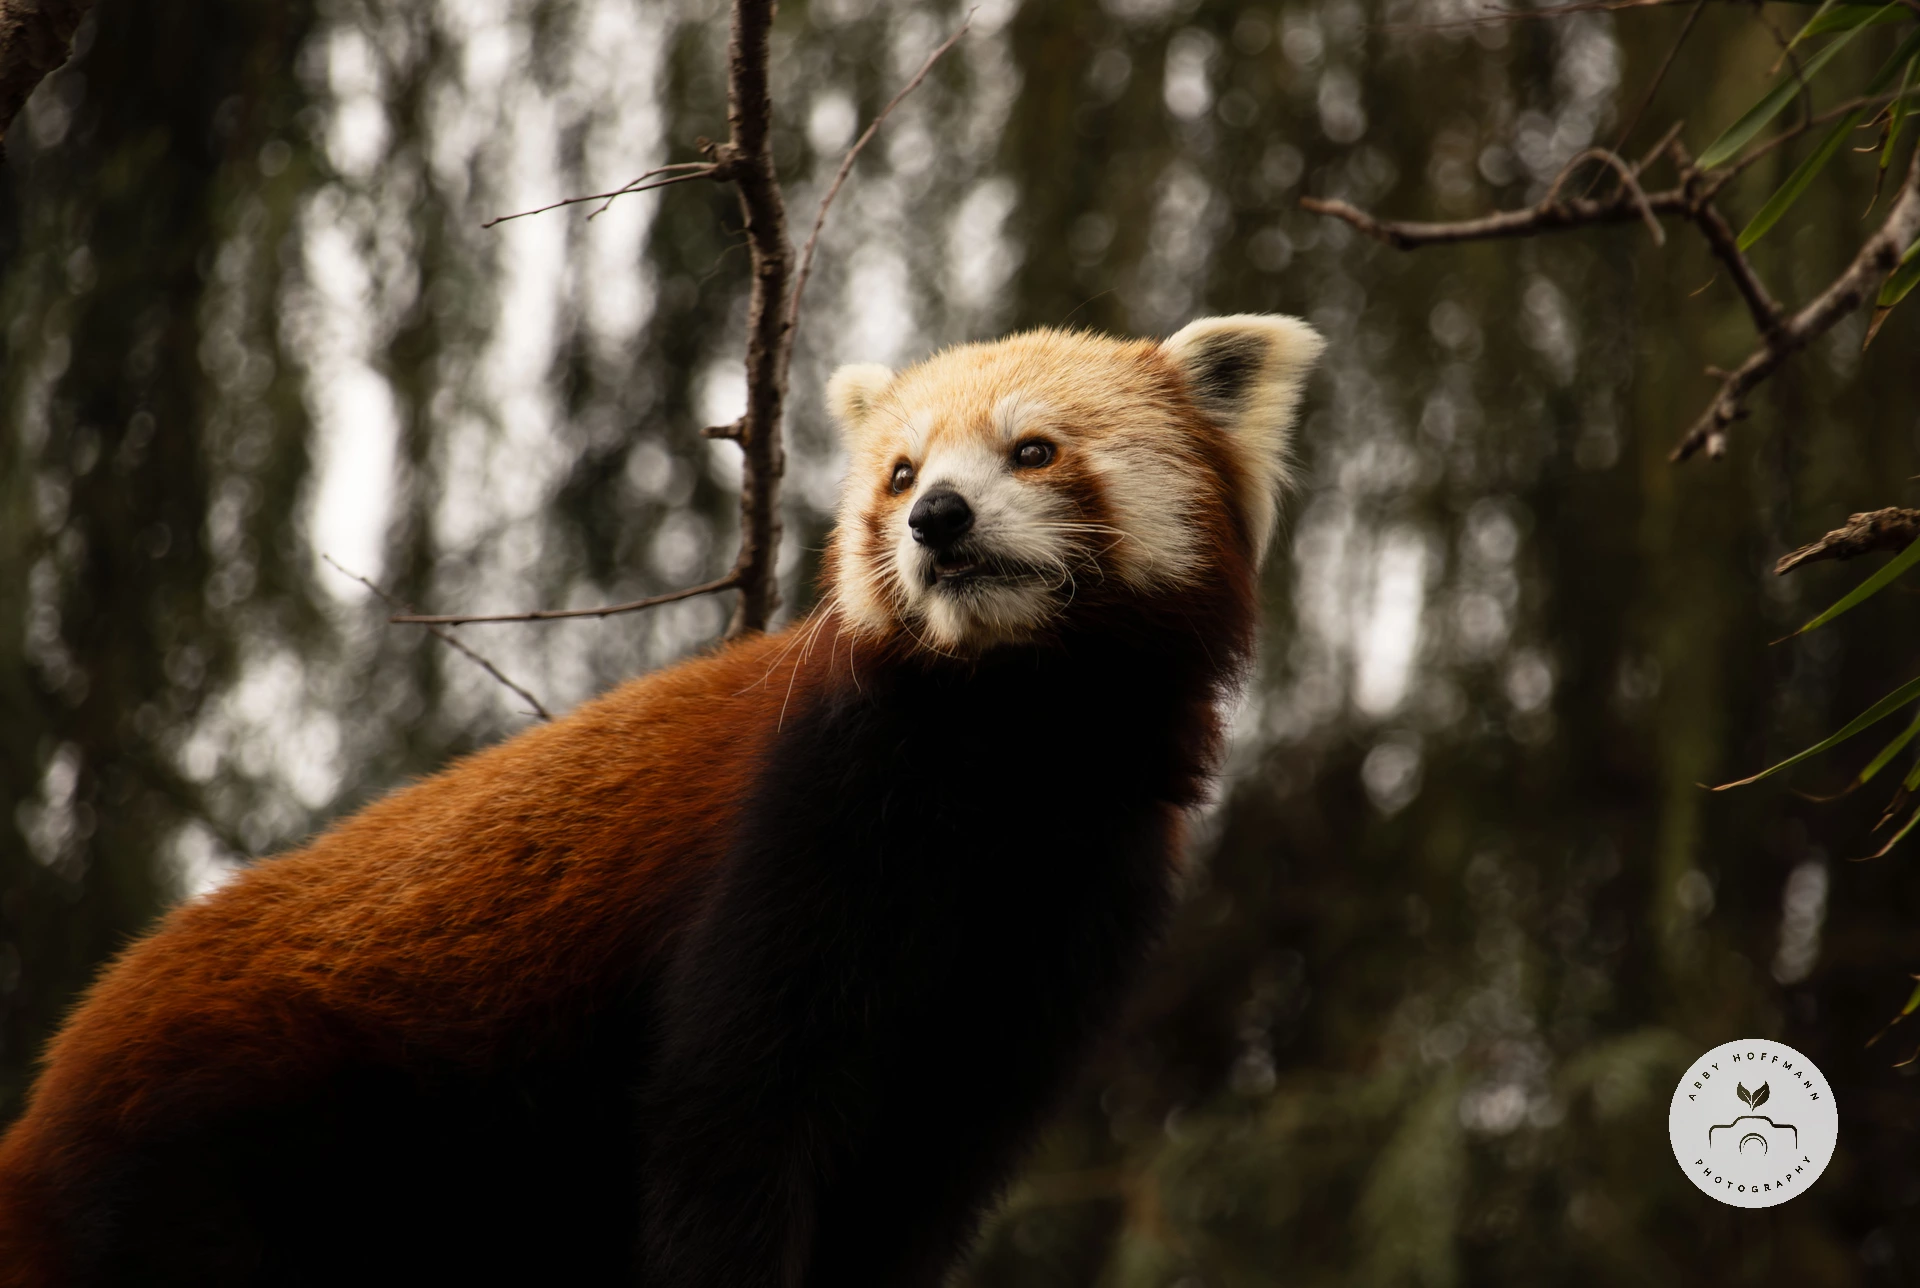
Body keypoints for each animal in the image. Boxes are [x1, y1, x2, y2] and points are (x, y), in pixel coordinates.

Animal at [0, 315, 1322, 1286]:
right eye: (901, 471)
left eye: (1033, 451)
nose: (935, 519)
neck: (1015, 744)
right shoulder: (807, 823)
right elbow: (730, 1113)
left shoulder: (1073, 904)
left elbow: (916, 1175)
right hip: (239, 1147)